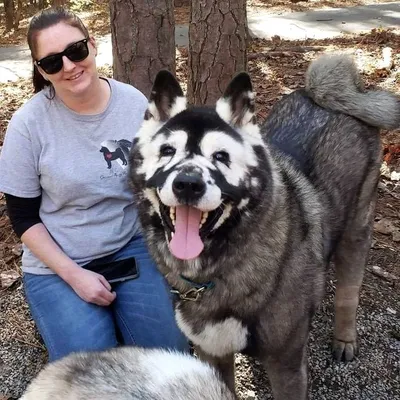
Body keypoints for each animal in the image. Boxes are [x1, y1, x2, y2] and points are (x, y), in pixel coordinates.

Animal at [129, 54, 400, 400]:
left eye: (221, 156)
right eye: (167, 151)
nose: (187, 184)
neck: (217, 272)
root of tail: (324, 93)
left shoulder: (286, 365)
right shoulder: (213, 352)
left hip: (356, 233)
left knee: (349, 292)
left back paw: (344, 338)